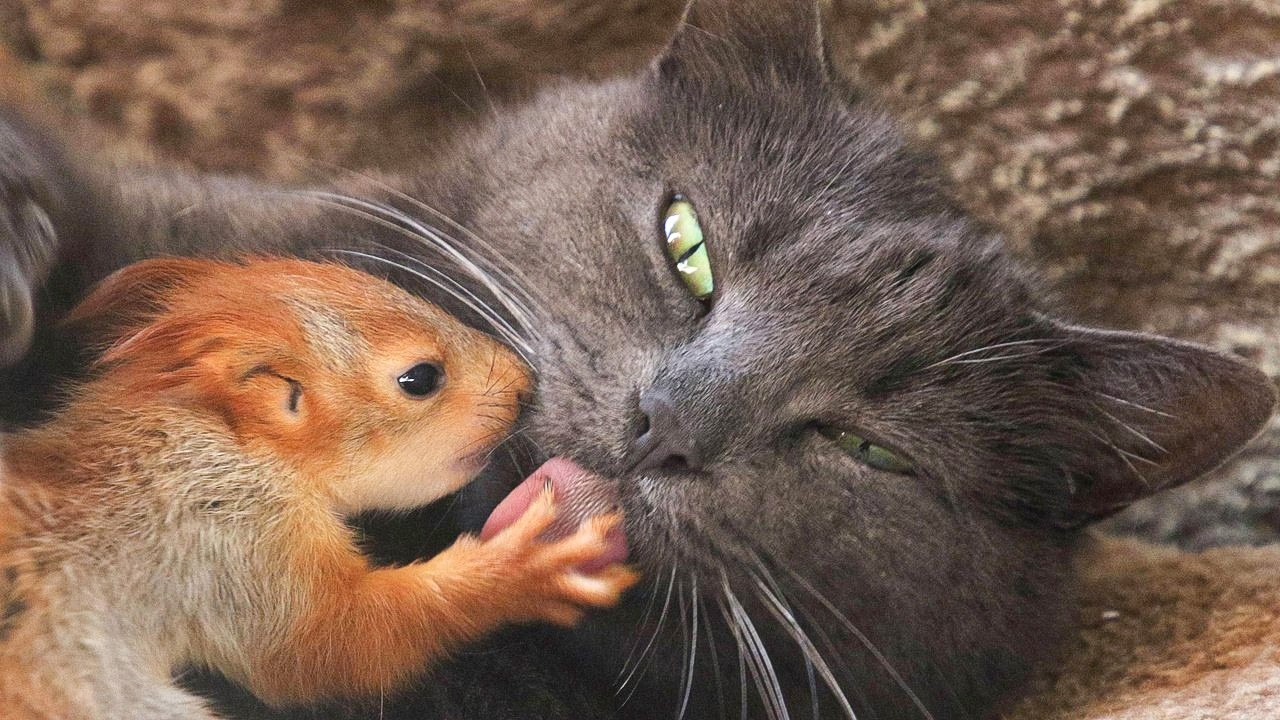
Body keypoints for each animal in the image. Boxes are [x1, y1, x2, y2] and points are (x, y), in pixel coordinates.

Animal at [0, 257, 637, 720]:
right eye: (420, 378)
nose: (526, 385)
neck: (218, 437)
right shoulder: (226, 535)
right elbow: (335, 640)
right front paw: (526, 566)